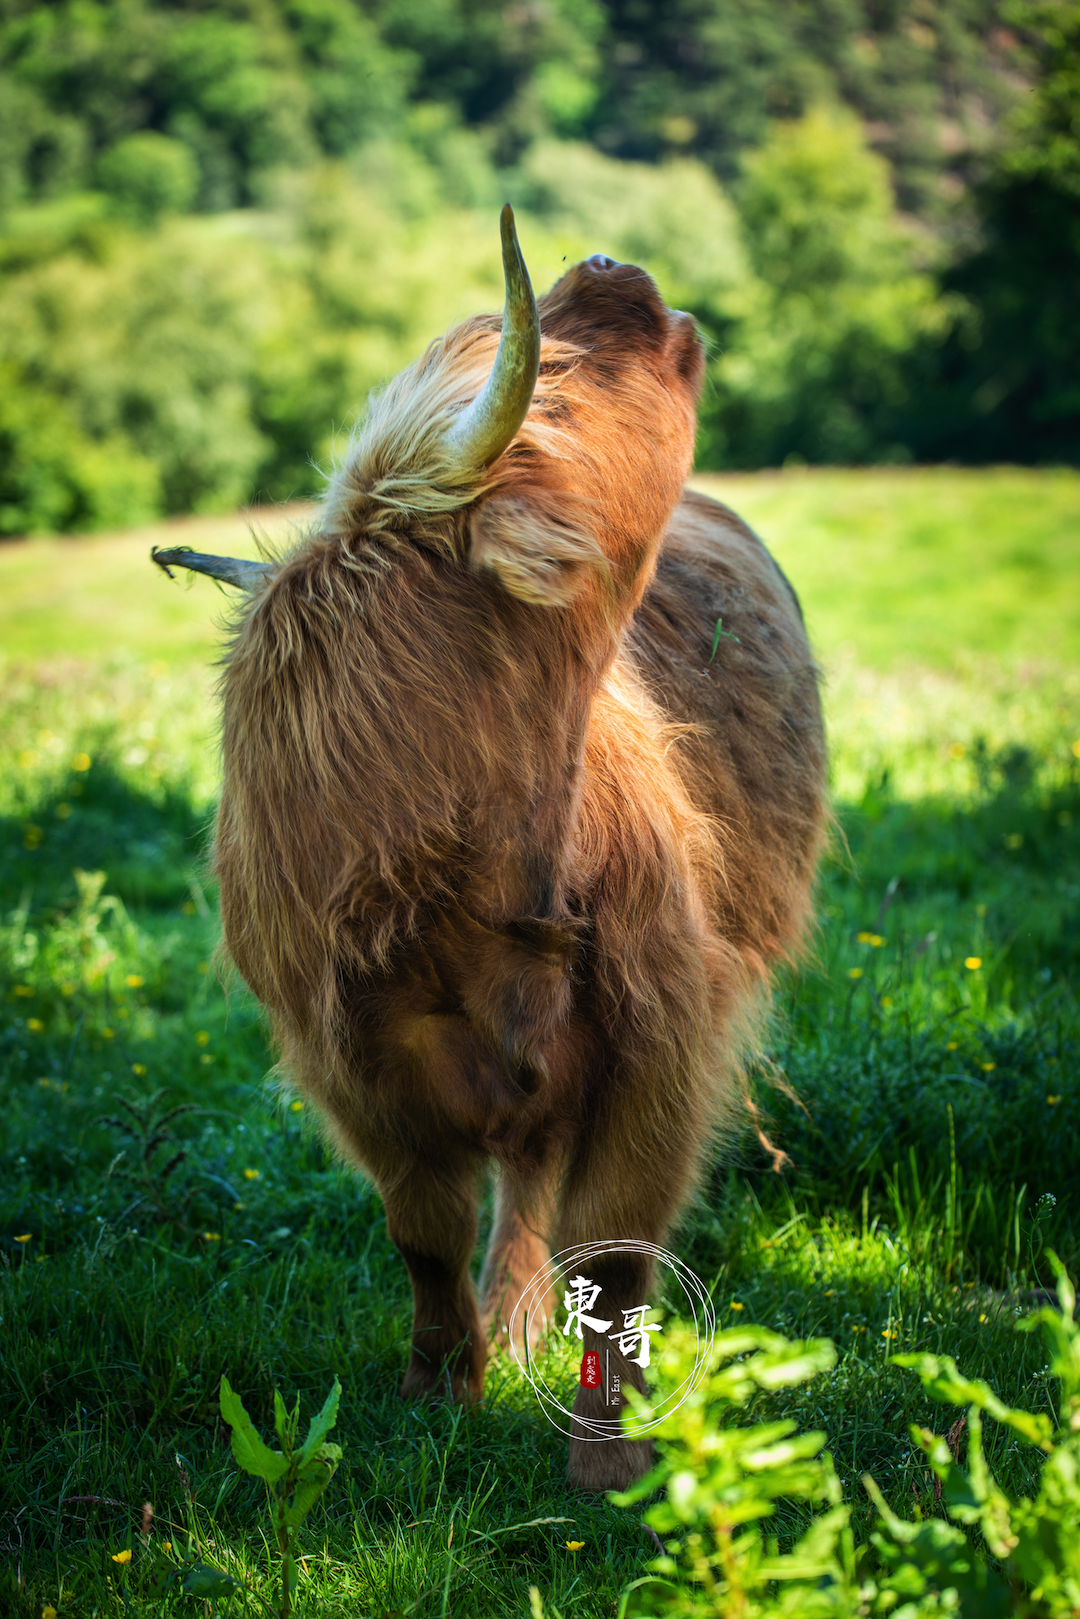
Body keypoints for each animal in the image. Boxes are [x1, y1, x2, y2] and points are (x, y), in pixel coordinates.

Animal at [153, 205, 829, 1489]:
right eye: (553, 371)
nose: (609, 261)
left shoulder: (664, 1046)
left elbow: (615, 1250)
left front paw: (607, 1460)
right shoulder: (356, 1070)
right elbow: (424, 1231)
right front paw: (438, 1392)